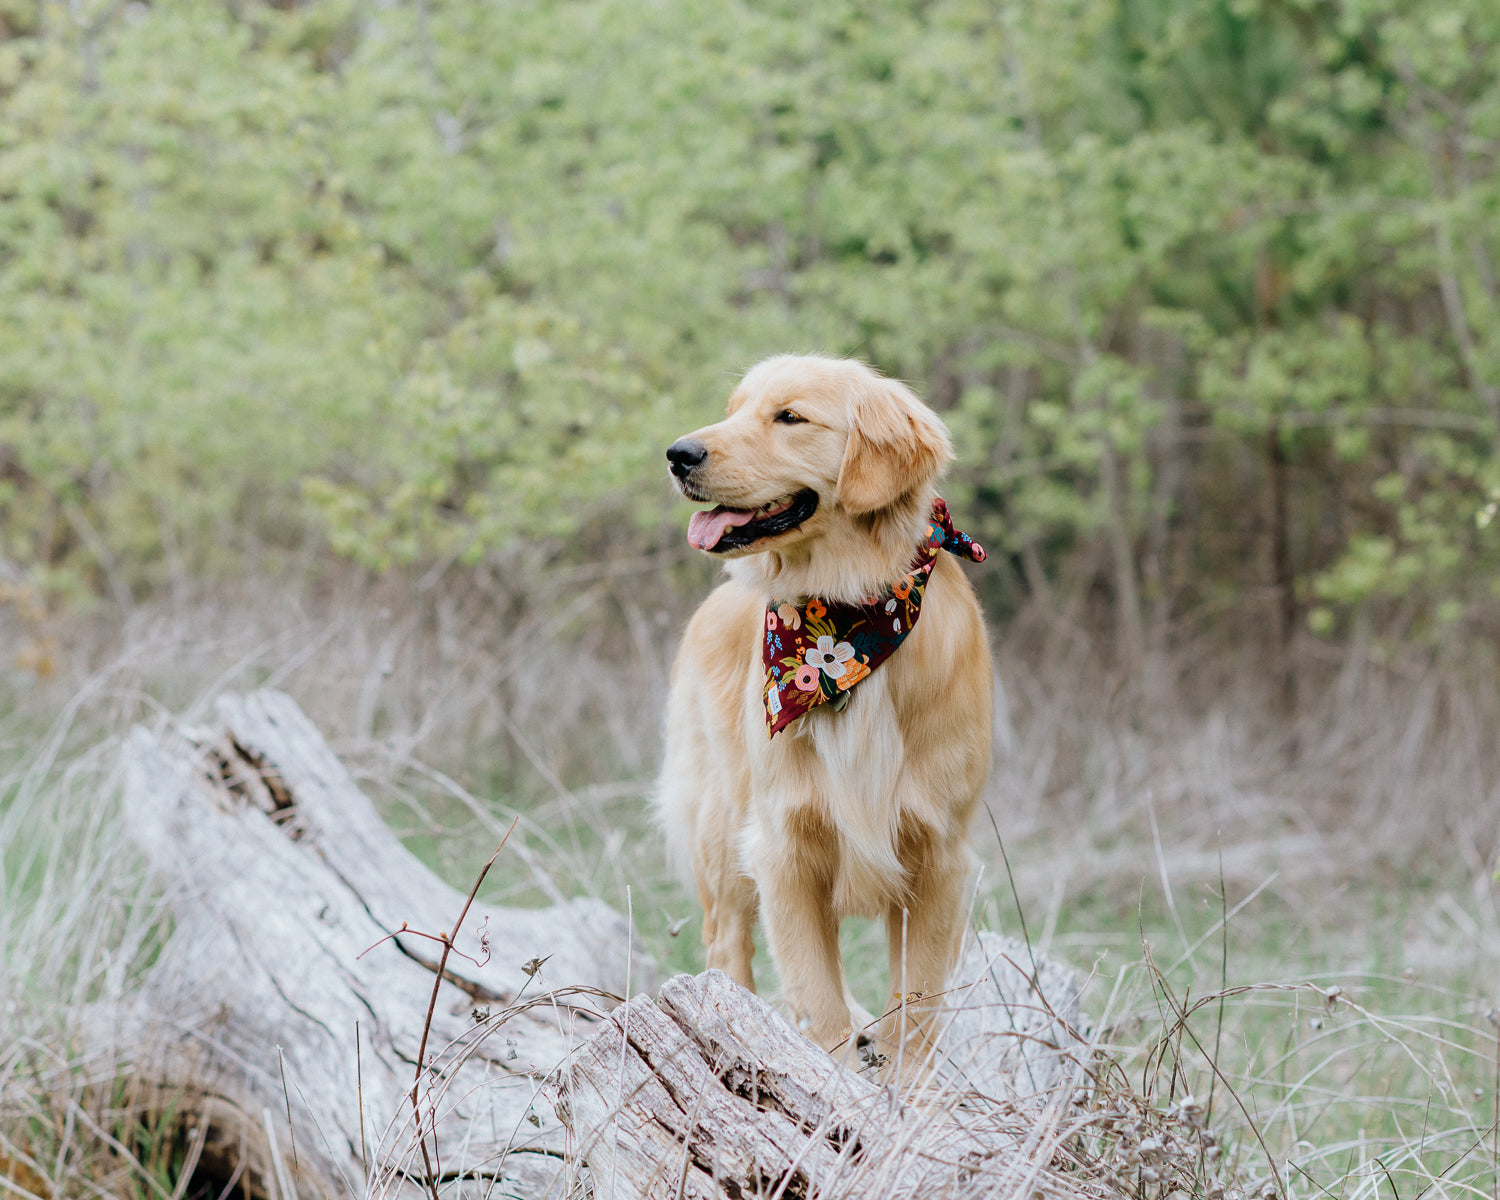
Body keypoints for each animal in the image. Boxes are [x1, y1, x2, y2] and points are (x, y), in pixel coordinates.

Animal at [660, 349, 996, 1062]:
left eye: (789, 417)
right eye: (734, 410)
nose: (678, 454)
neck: (842, 620)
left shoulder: (939, 856)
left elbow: (915, 1014)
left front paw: (903, 1086)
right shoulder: (784, 849)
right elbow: (821, 1003)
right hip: (722, 833)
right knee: (727, 946)